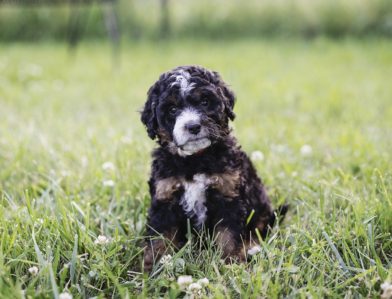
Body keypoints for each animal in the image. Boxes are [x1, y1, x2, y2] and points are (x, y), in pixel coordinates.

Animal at [139, 67, 286, 274]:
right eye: (172, 109)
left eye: (205, 102)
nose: (193, 126)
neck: (195, 160)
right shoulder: (165, 196)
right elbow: (160, 236)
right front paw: (152, 268)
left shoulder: (228, 194)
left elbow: (228, 235)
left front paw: (231, 263)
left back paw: (251, 247)